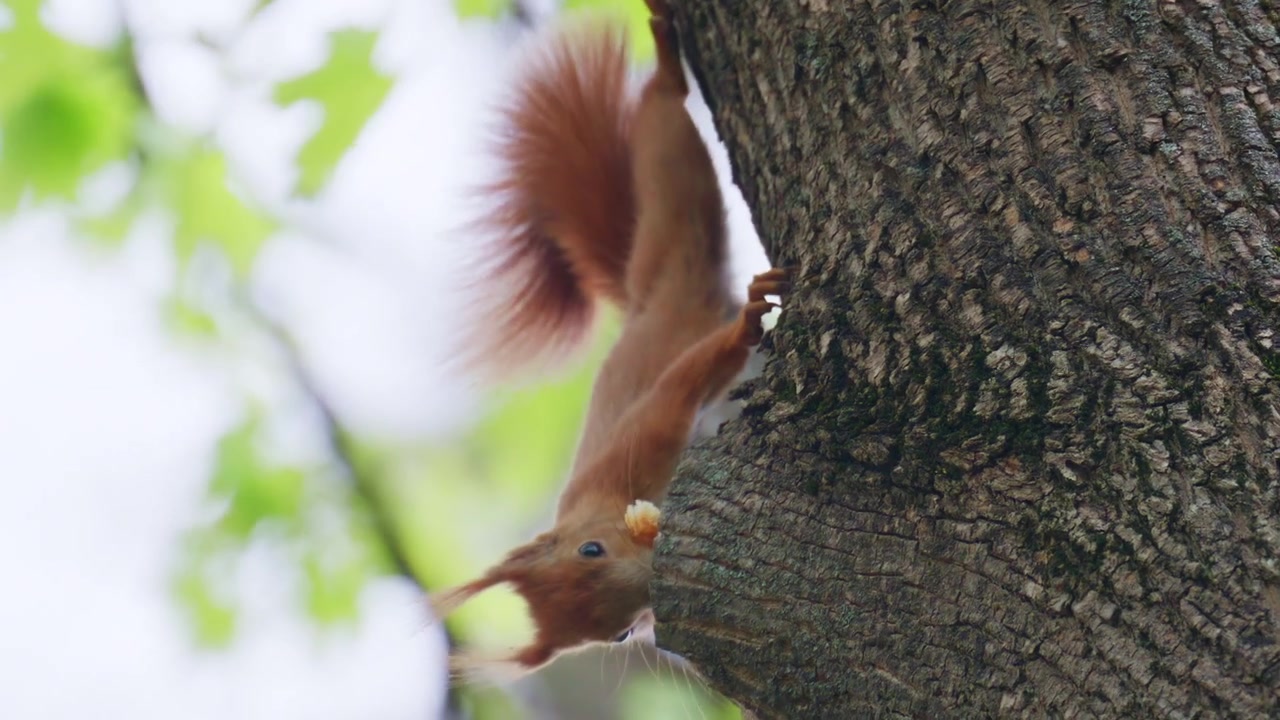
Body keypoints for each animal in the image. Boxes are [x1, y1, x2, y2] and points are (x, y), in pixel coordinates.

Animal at [434, 0, 789, 679]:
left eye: (592, 549)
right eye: (618, 634)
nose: (652, 589)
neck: (604, 501)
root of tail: (640, 304)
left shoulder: (644, 435)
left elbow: (681, 384)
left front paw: (747, 326)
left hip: (677, 241)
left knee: (663, 130)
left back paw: (666, 63)